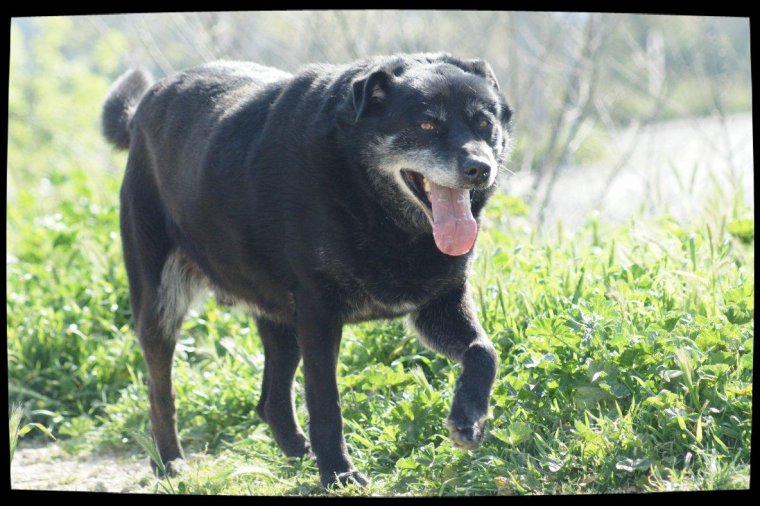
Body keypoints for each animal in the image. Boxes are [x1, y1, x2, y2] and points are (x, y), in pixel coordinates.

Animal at [101, 53, 512, 488]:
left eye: (484, 123)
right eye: (426, 125)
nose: (479, 168)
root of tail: (145, 104)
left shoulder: (439, 305)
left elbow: (484, 352)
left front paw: (469, 420)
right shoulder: (319, 313)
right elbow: (326, 400)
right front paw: (338, 474)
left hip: (280, 318)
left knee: (270, 400)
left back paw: (297, 449)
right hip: (160, 305)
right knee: (160, 392)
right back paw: (170, 462)